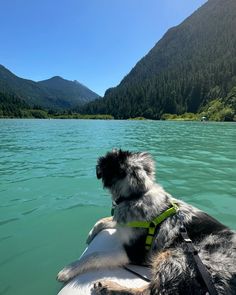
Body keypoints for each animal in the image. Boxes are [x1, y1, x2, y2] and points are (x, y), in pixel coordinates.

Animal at [57, 150, 236, 295]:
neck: (138, 195)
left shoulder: (134, 253)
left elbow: (95, 255)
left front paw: (69, 270)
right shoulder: (123, 224)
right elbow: (105, 220)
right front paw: (91, 234)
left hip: (175, 256)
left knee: (153, 292)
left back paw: (109, 286)